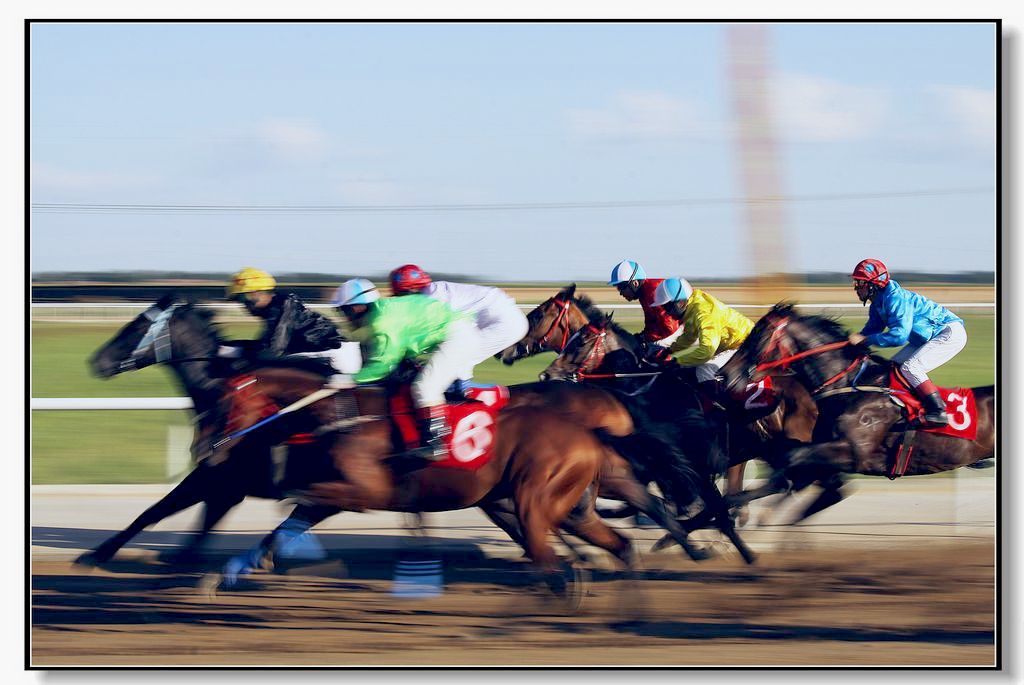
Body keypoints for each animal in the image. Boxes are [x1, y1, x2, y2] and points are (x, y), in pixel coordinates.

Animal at [716, 301, 995, 520]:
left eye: (757, 337)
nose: (724, 374)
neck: (850, 386)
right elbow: (795, 467)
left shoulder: (855, 452)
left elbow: (792, 462)